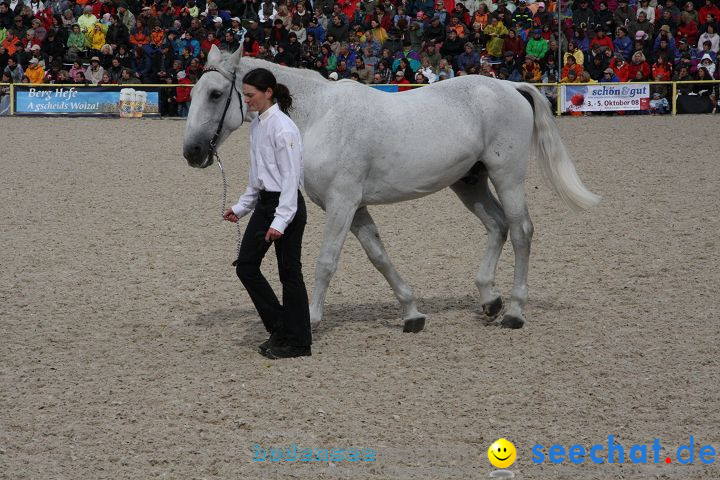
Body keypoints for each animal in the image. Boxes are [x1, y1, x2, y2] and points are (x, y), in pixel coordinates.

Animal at [183, 47, 600, 332]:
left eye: (216, 94)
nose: (192, 152)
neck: (320, 117)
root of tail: (510, 86)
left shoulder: (342, 203)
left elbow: (325, 262)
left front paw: (312, 320)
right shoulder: (354, 208)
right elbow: (379, 256)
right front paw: (412, 313)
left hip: (507, 176)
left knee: (520, 230)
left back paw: (513, 311)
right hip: (470, 183)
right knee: (497, 225)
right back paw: (489, 298)